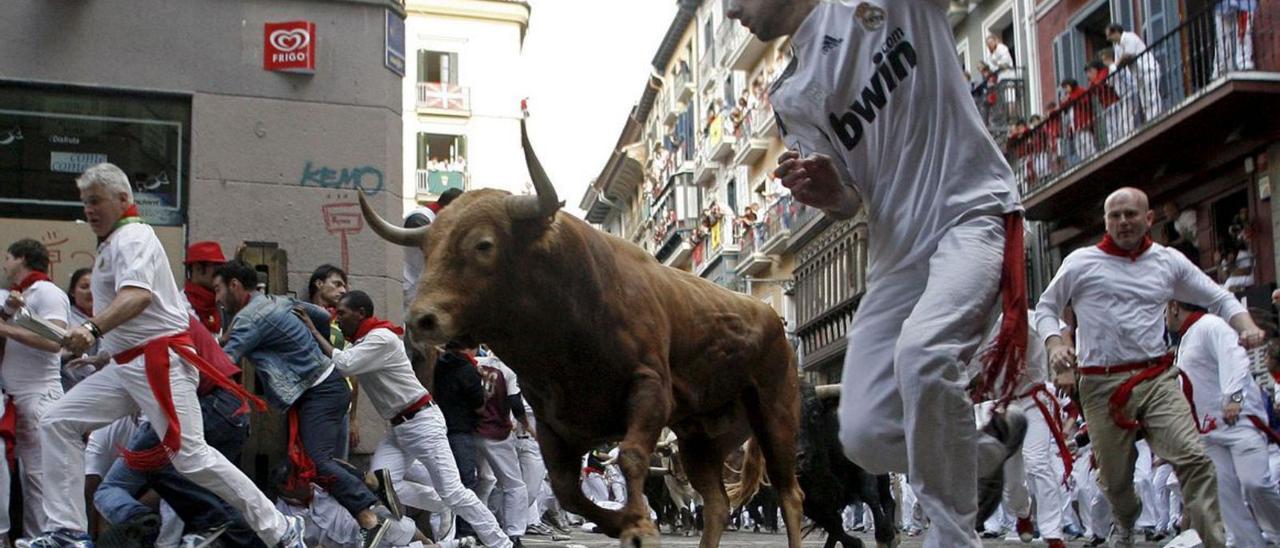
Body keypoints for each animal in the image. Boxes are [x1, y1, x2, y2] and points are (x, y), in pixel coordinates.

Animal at [360, 124, 798, 548]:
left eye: (483, 244)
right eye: (428, 250)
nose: (421, 319)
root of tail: (767, 315)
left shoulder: (650, 389)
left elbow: (631, 456)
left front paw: (640, 526)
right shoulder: (555, 427)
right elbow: (568, 491)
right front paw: (627, 522)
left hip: (774, 414)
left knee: (789, 494)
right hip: (699, 436)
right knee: (717, 503)